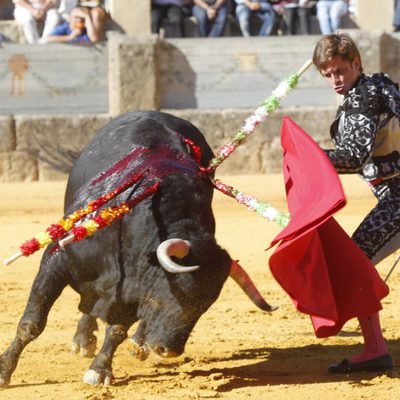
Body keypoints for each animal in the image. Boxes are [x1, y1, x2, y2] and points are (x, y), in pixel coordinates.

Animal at [0, 110, 274, 388]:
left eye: (206, 305)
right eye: (178, 291)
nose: (169, 350)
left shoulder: (135, 287)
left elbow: (117, 330)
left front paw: (99, 370)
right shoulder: (57, 262)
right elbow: (31, 323)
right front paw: (4, 371)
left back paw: (136, 344)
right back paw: (84, 340)